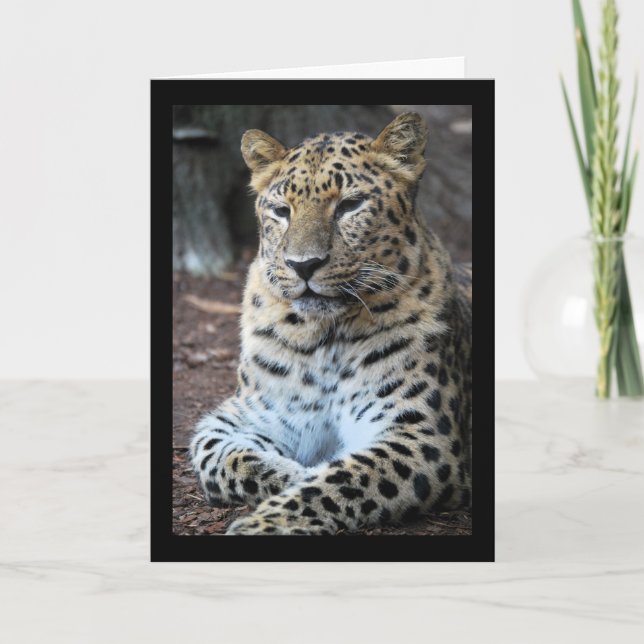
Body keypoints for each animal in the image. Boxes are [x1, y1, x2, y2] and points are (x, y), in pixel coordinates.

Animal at [189, 112, 472, 535]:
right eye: (281, 211)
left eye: (350, 205)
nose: (303, 265)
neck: (324, 337)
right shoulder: (241, 415)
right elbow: (218, 458)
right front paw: (291, 474)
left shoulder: (421, 434)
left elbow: (344, 479)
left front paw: (264, 524)